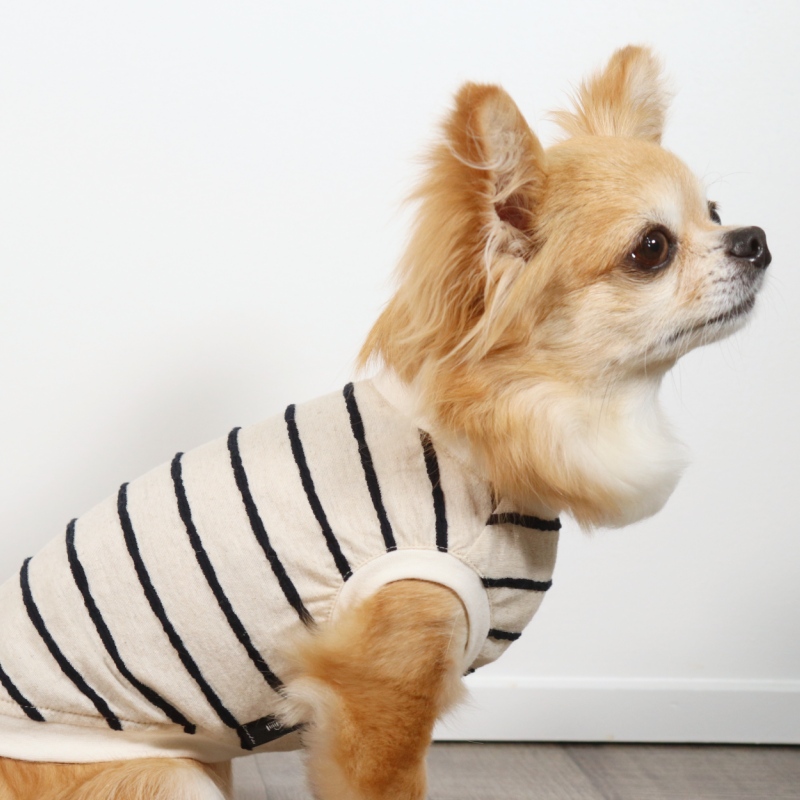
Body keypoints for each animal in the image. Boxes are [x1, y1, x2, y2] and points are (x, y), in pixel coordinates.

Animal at [0, 46, 769, 800]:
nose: (757, 237)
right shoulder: (386, 683)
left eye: (715, 210)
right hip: (170, 776)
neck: (483, 440)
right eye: (652, 249)